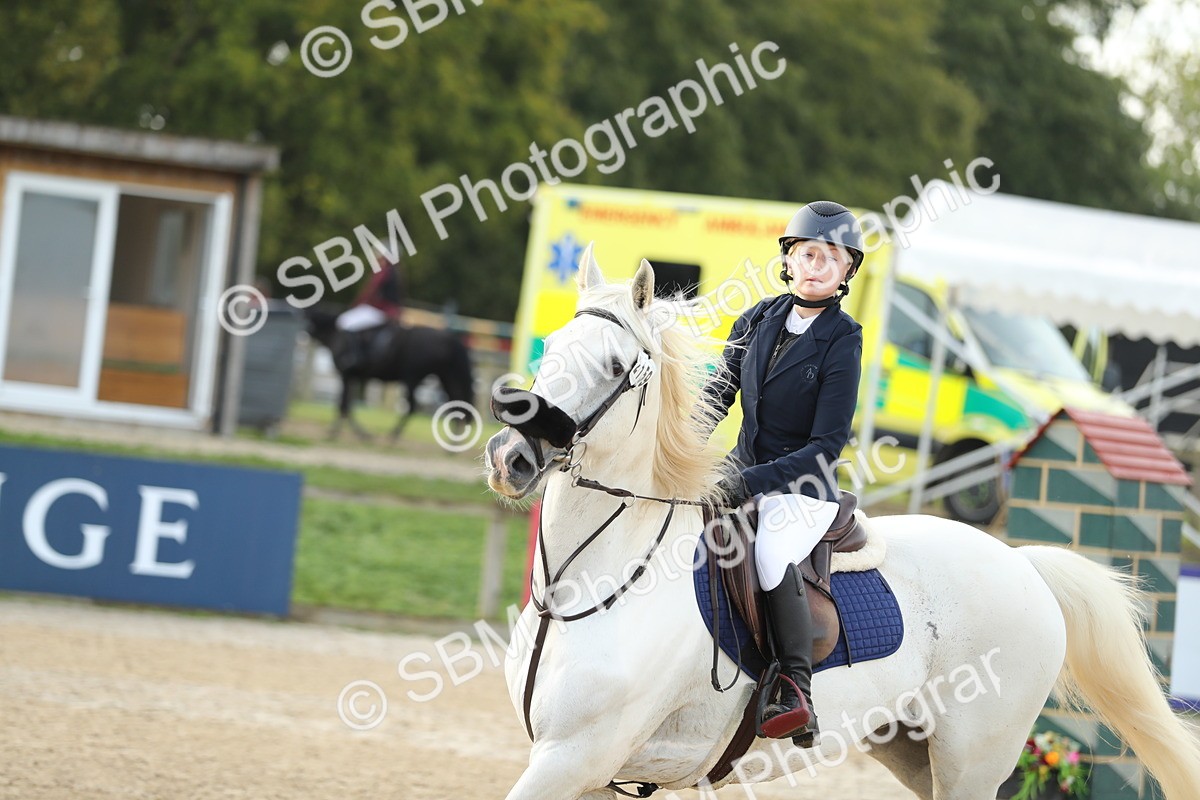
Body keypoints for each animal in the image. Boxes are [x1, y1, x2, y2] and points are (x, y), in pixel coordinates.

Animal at [304, 307, 475, 441]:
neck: (335, 333)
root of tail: (450, 339)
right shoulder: (352, 377)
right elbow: (345, 405)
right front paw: (349, 433)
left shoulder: (346, 375)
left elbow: (344, 406)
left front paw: (345, 433)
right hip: (445, 377)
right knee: (456, 403)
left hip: (412, 377)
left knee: (413, 407)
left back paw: (393, 436)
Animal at [482, 244, 1200, 800]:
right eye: (553, 346)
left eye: (613, 367)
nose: (511, 458)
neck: (586, 585)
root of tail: (1019, 561)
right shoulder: (590, 772)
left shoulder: (576, 757)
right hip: (910, 745)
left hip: (974, 758)